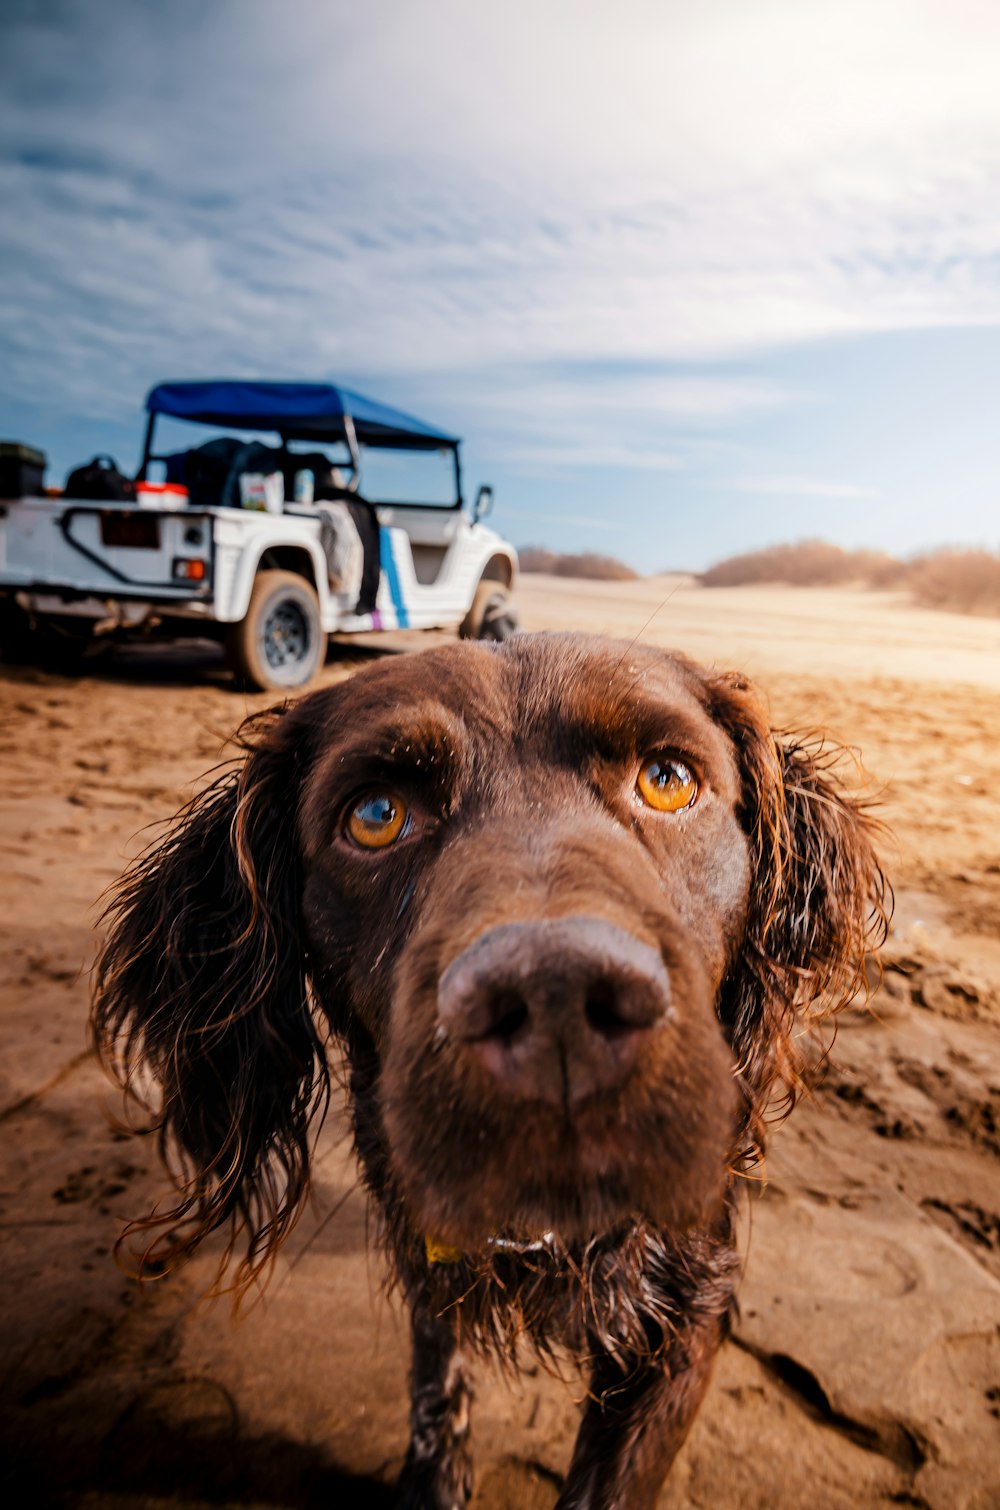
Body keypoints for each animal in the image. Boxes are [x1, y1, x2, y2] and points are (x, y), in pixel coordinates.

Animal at [94, 631, 888, 1503]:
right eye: (376, 816)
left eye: (668, 780)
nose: (556, 1004)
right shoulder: (425, 1242)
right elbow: (436, 1380)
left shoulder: (685, 1317)